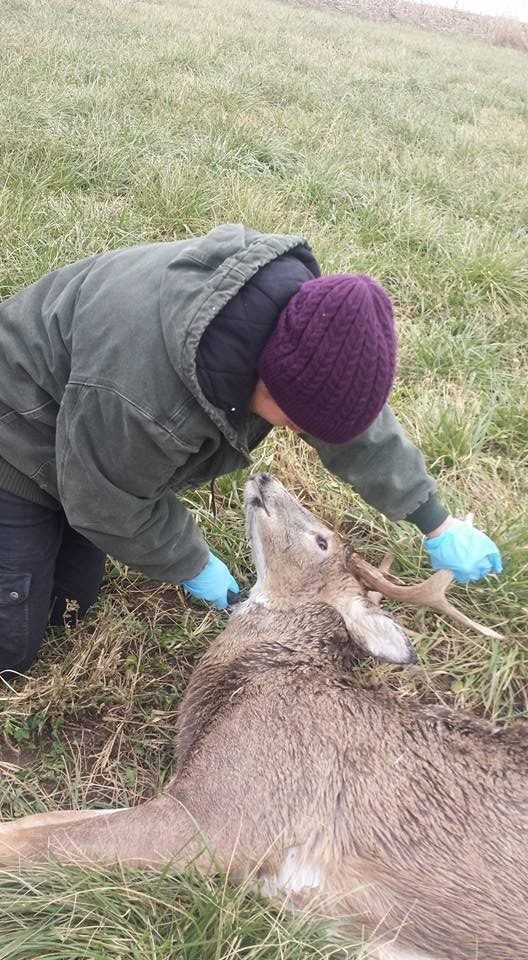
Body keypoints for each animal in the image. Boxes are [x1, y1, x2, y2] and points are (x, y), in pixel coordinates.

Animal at [0, 474, 524, 960]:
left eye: (321, 541)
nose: (264, 478)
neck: (255, 678)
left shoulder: (228, 816)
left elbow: (48, 845)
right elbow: (47, 821)